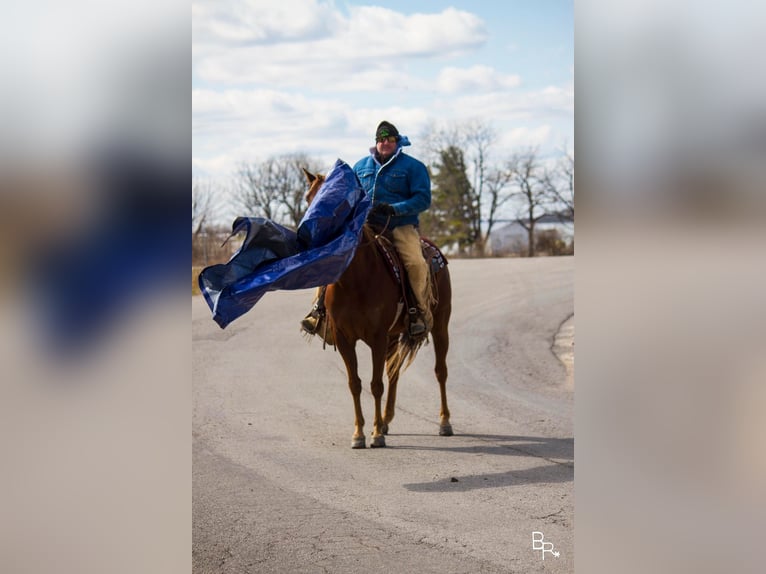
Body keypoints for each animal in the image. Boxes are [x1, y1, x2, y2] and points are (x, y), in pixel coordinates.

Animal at [304, 169, 452, 452]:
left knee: (440, 371)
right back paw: (385, 421)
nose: (312, 233)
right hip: (395, 335)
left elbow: (375, 385)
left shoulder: (377, 337)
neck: (354, 280)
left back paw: (444, 423)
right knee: (393, 372)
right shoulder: (345, 338)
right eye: (308, 197)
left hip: (440, 326)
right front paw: (359, 433)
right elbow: (355, 384)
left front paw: (374, 435)